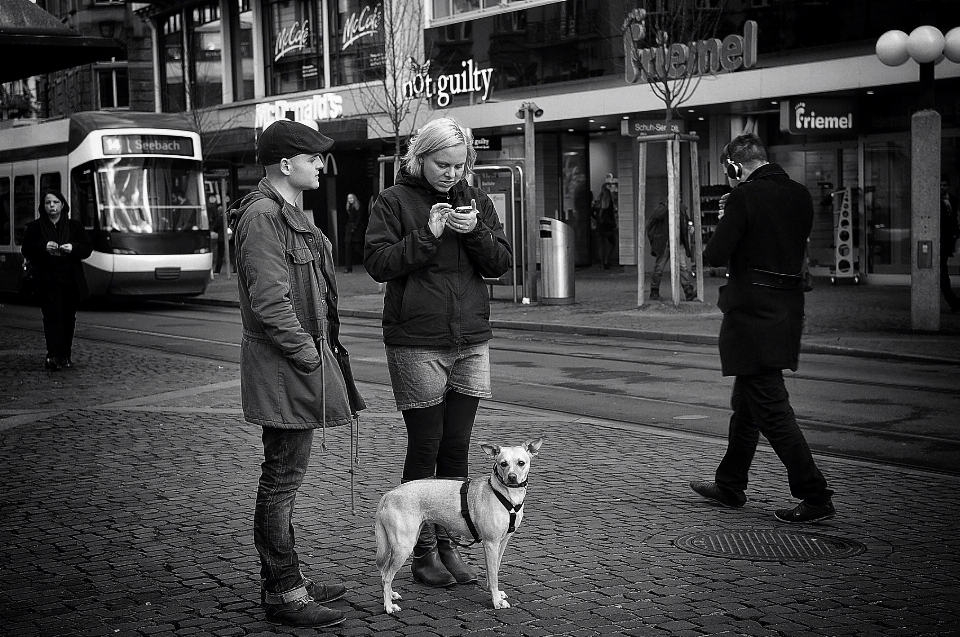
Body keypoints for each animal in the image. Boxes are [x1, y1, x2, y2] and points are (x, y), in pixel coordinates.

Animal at [376, 438, 544, 612]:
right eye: (503, 464)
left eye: (521, 463)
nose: (512, 477)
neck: (506, 496)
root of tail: (389, 494)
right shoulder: (491, 543)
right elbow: (493, 576)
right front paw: (496, 601)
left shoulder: (502, 542)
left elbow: (494, 571)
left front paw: (496, 593)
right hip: (403, 545)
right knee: (386, 576)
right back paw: (388, 606)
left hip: (410, 538)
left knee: (384, 573)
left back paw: (391, 594)